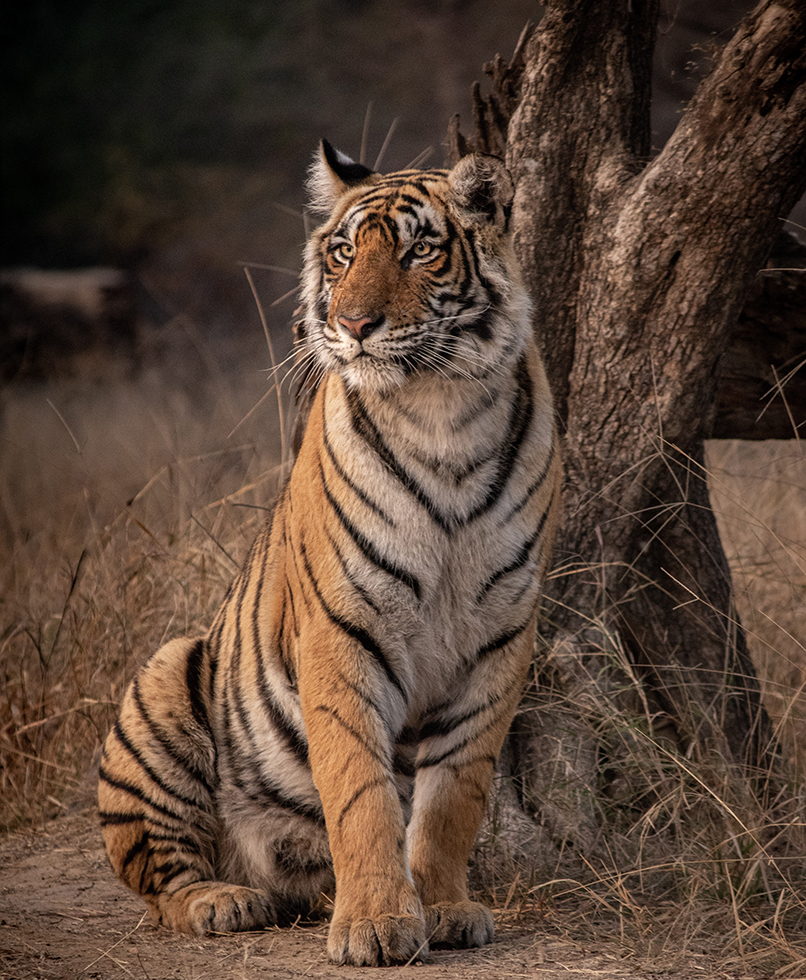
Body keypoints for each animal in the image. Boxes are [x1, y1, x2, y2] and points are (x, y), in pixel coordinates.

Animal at [98, 142, 560, 968]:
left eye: (418, 251)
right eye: (343, 254)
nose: (354, 323)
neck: (443, 411)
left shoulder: (500, 635)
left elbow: (454, 796)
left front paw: (443, 907)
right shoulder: (344, 627)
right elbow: (359, 791)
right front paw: (376, 925)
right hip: (164, 680)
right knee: (160, 882)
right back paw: (224, 901)